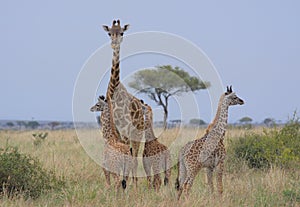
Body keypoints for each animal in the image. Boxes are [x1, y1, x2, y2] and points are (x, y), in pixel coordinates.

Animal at [102, 19, 145, 184]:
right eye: (109, 33)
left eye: (122, 32)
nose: (114, 43)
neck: (113, 91)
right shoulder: (117, 132)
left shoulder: (126, 131)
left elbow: (128, 158)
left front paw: (125, 184)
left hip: (137, 133)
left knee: (135, 158)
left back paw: (134, 183)